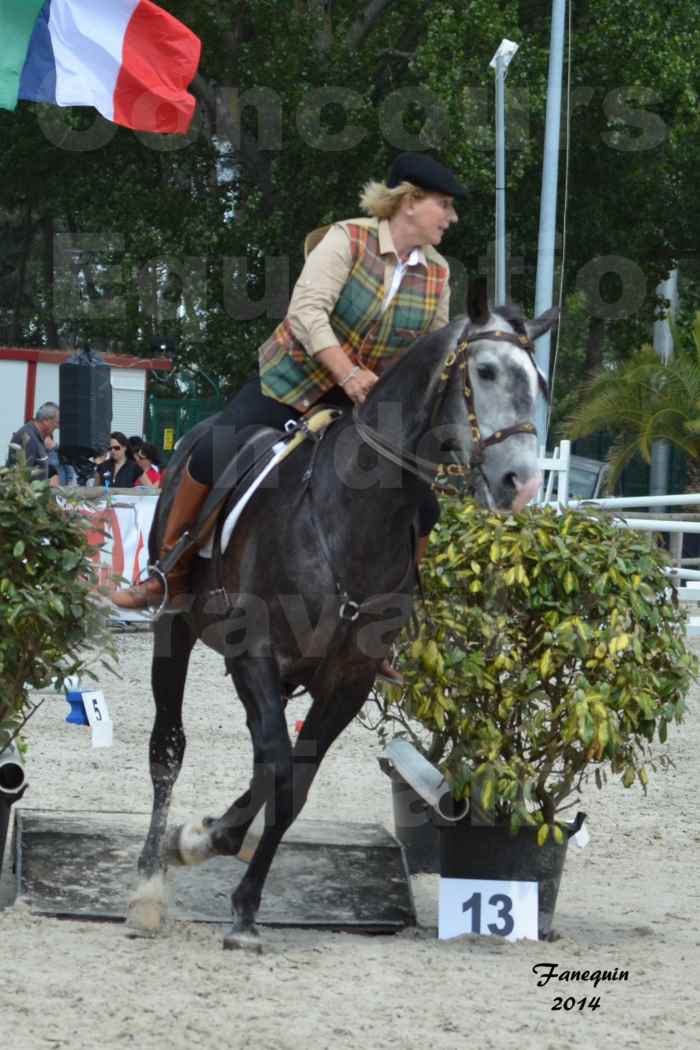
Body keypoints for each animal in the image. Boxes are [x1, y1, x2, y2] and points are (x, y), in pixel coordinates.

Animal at [127, 298, 558, 953]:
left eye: (538, 382)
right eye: (484, 371)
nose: (523, 483)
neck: (348, 517)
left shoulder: (349, 680)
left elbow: (293, 784)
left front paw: (240, 893)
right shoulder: (253, 654)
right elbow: (277, 768)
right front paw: (218, 874)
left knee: (264, 759)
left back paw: (215, 836)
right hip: (176, 628)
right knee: (169, 749)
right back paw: (152, 881)